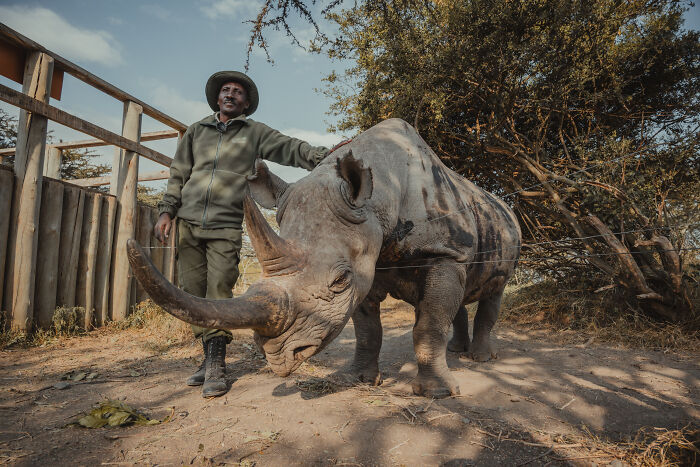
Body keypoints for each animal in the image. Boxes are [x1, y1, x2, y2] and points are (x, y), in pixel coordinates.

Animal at [127, 118, 521, 398]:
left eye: (339, 280)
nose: (278, 358)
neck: (380, 195)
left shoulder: (443, 251)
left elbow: (429, 323)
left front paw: (437, 394)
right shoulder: (369, 261)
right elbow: (367, 329)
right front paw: (359, 379)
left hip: (503, 233)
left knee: (494, 290)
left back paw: (481, 358)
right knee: (465, 293)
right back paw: (459, 351)